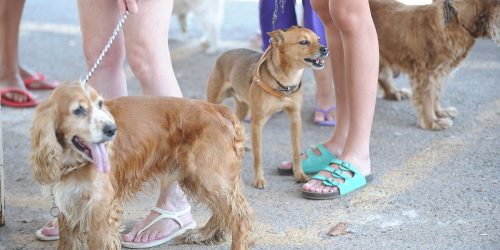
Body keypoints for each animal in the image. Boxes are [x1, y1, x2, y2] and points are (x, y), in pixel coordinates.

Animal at [30, 83, 254, 249]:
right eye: (78, 110)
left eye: (100, 104)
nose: (112, 130)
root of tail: (218, 109)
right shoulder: (69, 204)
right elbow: (66, 242)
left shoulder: (101, 209)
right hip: (198, 177)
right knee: (224, 210)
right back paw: (204, 233)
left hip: (206, 175)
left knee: (240, 216)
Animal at [206, 26, 328, 188]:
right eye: (304, 42)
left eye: (319, 39)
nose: (325, 49)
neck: (286, 81)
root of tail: (224, 54)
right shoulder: (257, 123)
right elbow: (258, 155)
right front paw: (258, 179)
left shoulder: (295, 119)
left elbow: (296, 151)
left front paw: (299, 174)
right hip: (215, 100)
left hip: (243, 108)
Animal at [372, 0, 500, 131]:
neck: (453, 24)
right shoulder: (425, 73)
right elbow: (427, 97)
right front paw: (432, 121)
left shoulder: (440, 72)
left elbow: (436, 94)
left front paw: (440, 112)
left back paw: (394, 93)